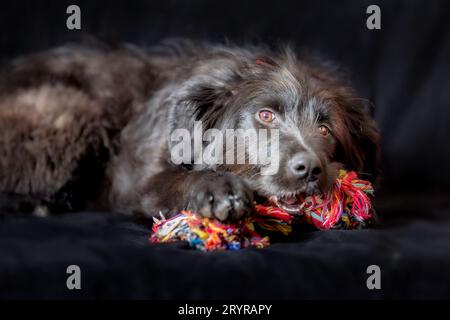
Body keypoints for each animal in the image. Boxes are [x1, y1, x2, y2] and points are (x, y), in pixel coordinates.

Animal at [0, 43, 380, 221]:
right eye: (266, 115)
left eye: (325, 129)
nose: (310, 169)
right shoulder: (134, 181)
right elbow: (174, 180)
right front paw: (217, 187)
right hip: (73, 111)